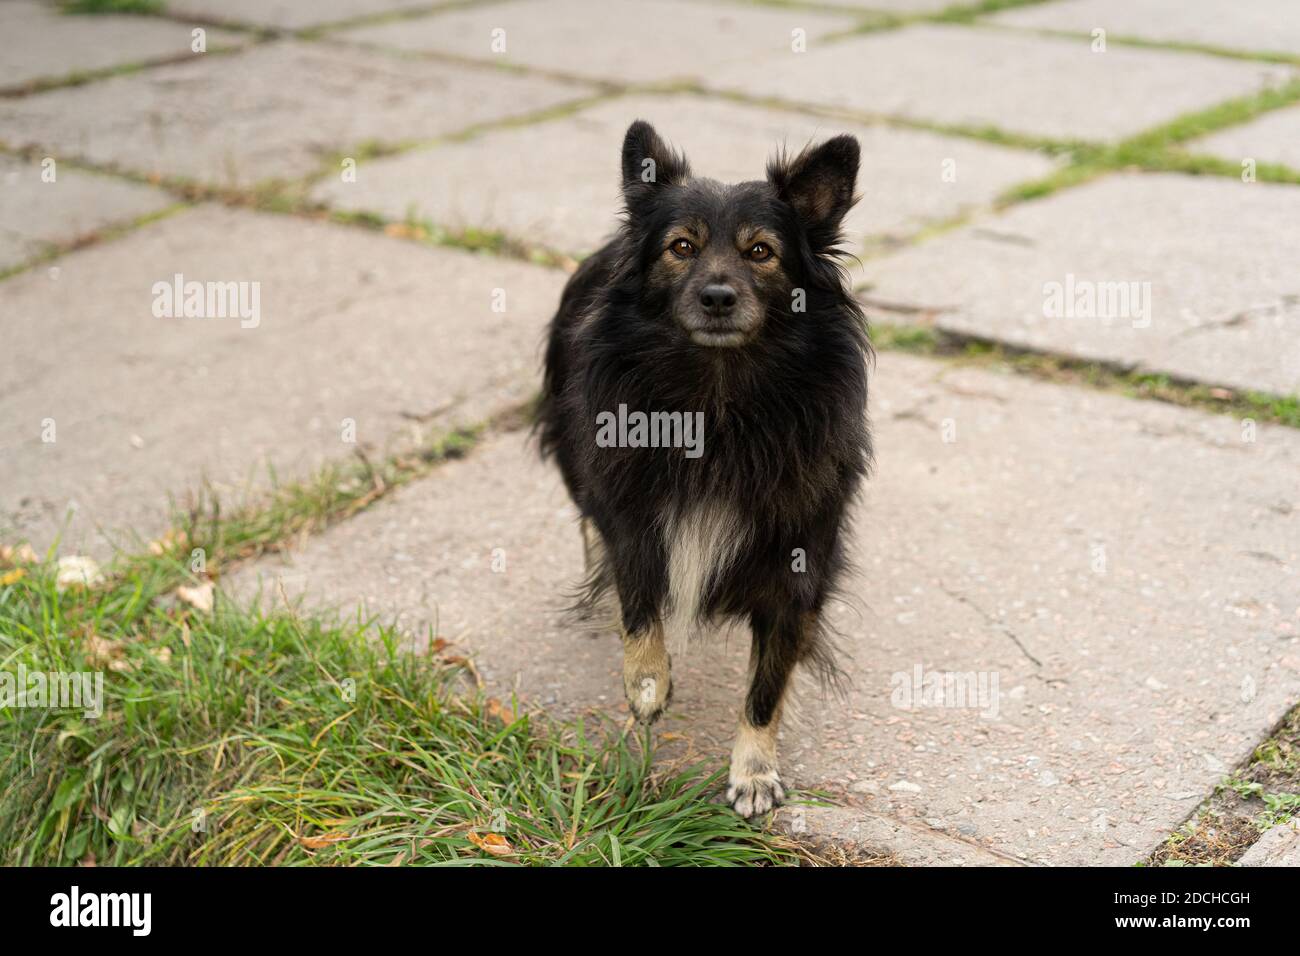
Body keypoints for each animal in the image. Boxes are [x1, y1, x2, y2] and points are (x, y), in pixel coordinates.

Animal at [538, 123, 873, 816]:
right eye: (681, 247)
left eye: (762, 251)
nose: (717, 296)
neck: (718, 402)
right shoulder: (634, 514)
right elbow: (638, 598)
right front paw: (646, 683)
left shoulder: (798, 566)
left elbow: (767, 686)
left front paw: (753, 771)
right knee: (588, 522)